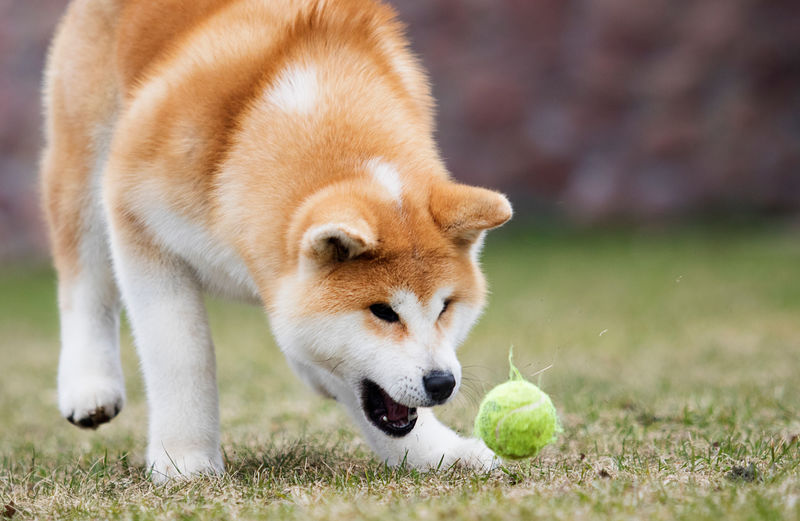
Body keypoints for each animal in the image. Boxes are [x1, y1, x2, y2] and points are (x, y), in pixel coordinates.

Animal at [40, 0, 512, 480]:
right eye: (382, 311)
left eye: (445, 307)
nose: (442, 382)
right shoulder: (140, 222)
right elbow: (184, 355)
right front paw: (185, 461)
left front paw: (440, 453)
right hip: (86, 166)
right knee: (85, 280)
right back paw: (89, 385)